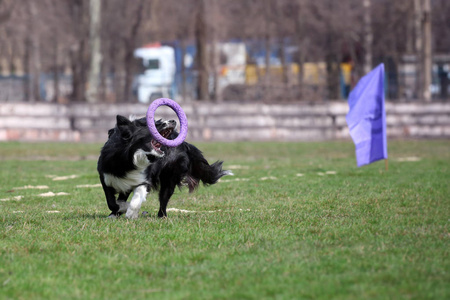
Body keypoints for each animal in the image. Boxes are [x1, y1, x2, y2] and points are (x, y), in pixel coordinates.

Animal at [97, 115, 232, 218]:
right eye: (154, 123)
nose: (173, 121)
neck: (130, 159)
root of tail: (184, 143)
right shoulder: (107, 177)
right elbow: (112, 202)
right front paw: (119, 210)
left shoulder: (144, 179)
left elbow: (134, 198)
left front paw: (130, 212)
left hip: (170, 176)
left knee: (164, 197)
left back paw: (162, 216)